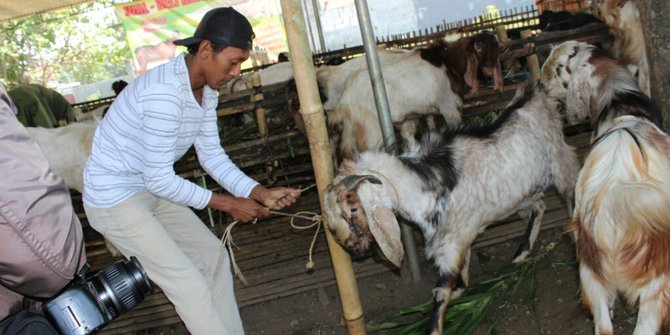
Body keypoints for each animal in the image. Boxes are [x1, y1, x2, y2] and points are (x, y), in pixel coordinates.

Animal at [318, 31, 504, 161]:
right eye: (482, 47)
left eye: (496, 46)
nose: (492, 72)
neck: (446, 61)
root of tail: (345, 98)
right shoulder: (448, 107)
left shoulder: (429, 112)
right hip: (371, 129)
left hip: (350, 130)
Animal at [322, 80, 580, 334]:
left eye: (353, 208)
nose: (352, 247)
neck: (424, 187)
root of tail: (535, 93)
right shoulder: (460, 235)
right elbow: (463, 265)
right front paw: (461, 289)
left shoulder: (451, 243)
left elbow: (441, 291)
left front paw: (435, 326)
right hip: (524, 192)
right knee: (540, 207)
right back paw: (521, 254)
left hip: (561, 165)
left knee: (570, 196)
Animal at [544, 41, 668, 335]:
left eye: (557, 69)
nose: (541, 85)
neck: (619, 101)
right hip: (655, 281)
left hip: (590, 269)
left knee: (603, 325)